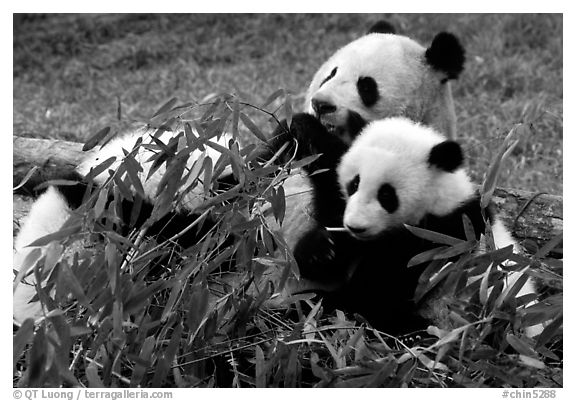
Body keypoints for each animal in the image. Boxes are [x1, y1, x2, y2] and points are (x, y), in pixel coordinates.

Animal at [268, 112, 544, 338]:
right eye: (354, 184)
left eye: (387, 195)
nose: (355, 226)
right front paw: (324, 248)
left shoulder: (443, 238)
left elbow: (378, 290)